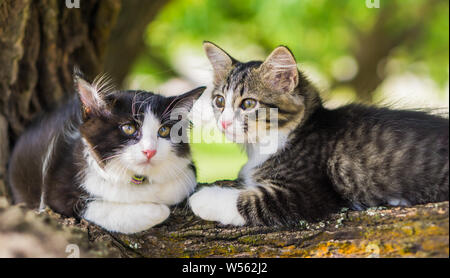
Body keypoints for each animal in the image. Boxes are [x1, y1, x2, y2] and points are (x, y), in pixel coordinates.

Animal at [7, 69, 205, 232]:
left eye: (163, 131)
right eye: (128, 128)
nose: (150, 151)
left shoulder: (187, 173)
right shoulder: (57, 194)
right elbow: (103, 210)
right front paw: (158, 208)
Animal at [188, 42, 448, 227]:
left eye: (248, 104)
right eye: (219, 101)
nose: (223, 122)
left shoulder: (304, 193)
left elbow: (248, 201)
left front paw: (201, 198)